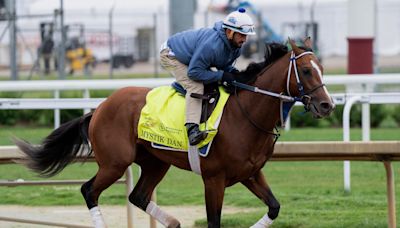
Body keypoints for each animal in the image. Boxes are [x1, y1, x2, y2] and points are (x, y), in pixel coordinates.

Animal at [14, 38, 334, 227]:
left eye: (321, 67)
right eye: (307, 71)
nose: (327, 104)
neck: (246, 114)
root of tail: (100, 107)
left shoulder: (251, 173)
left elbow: (274, 207)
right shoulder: (213, 179)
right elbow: (214, 221)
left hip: (155, 162)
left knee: (138, 196)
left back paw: (172, 222)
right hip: (115, 163)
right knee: (89, 190)